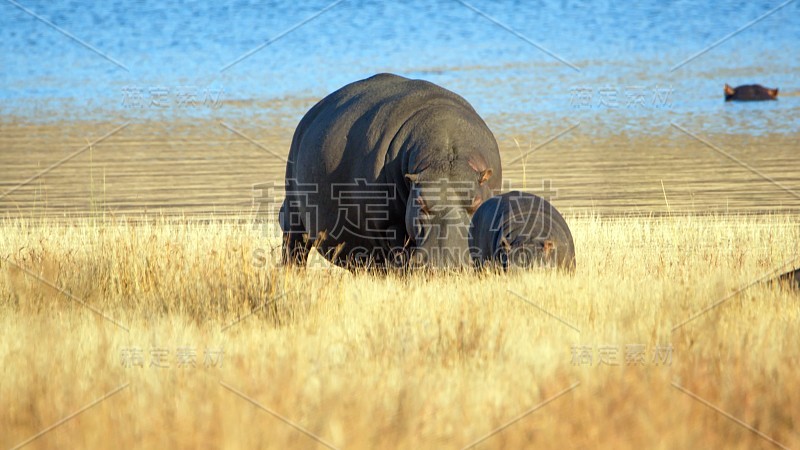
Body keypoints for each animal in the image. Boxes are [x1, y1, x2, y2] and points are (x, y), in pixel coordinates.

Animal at [282, 73, 500, 268]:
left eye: (477, 202)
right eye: (420, 203)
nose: (445, 263)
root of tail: (310, 113)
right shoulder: (391, 225)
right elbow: (399, 254)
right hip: (293, 215)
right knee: (294, 249)